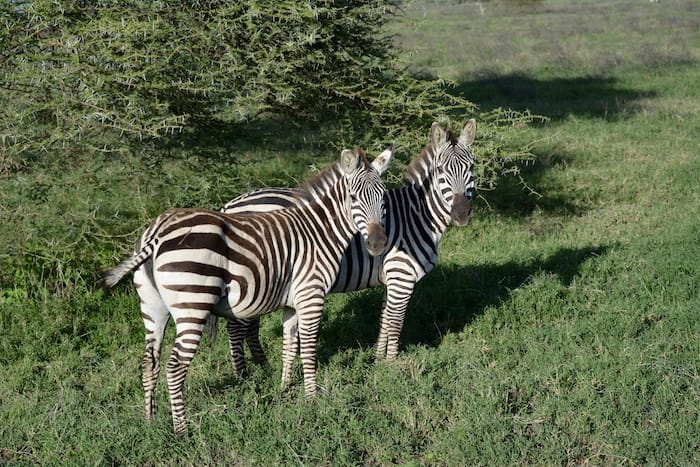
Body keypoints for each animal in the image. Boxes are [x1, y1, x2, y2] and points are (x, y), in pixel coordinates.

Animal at [101, 148, 392, 436]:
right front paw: (312, 398)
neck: (317, 232)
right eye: (353, 198)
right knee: (175, 367)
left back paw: (149, 420)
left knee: (150, 362)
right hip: (193, 304)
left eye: (383, 199)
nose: (378, 244)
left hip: (153, 308)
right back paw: (182, 430)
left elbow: (289, 344)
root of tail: (157, 232)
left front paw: (285, 386)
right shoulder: (312, 294)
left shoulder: (292, 302)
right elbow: (308, 348)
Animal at [221, 119, 478, 382]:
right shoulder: (401, 276)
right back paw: (242, 376)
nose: (461, 213)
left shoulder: (390, 278)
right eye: (441, 170)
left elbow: (384, 318)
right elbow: (395, 322)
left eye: (471, 167)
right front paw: (392, 367)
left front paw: (378, 359)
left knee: (249, 325)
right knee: (236, 327)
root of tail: (230, 205)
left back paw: (263, 366)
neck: (417, 217)